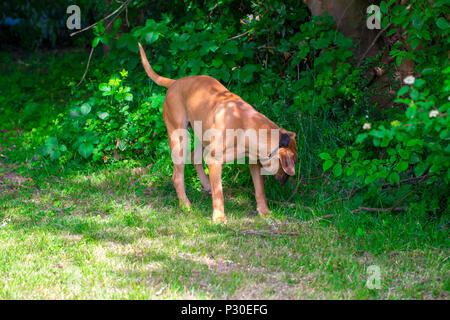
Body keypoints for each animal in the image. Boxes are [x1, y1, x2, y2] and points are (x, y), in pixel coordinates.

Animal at [139, 42, 298, 222]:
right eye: (293, 162)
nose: (287, 180)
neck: (245, 127)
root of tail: (174, 82)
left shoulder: (254, 162)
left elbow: (260, 190)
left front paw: (264, 211)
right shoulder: (214, 161)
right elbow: (219, 193)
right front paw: (219, 217)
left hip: (203, 134)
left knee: (194, 157)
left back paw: (205, 185)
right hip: (179, 138)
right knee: (177, 176)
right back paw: (185, 205)